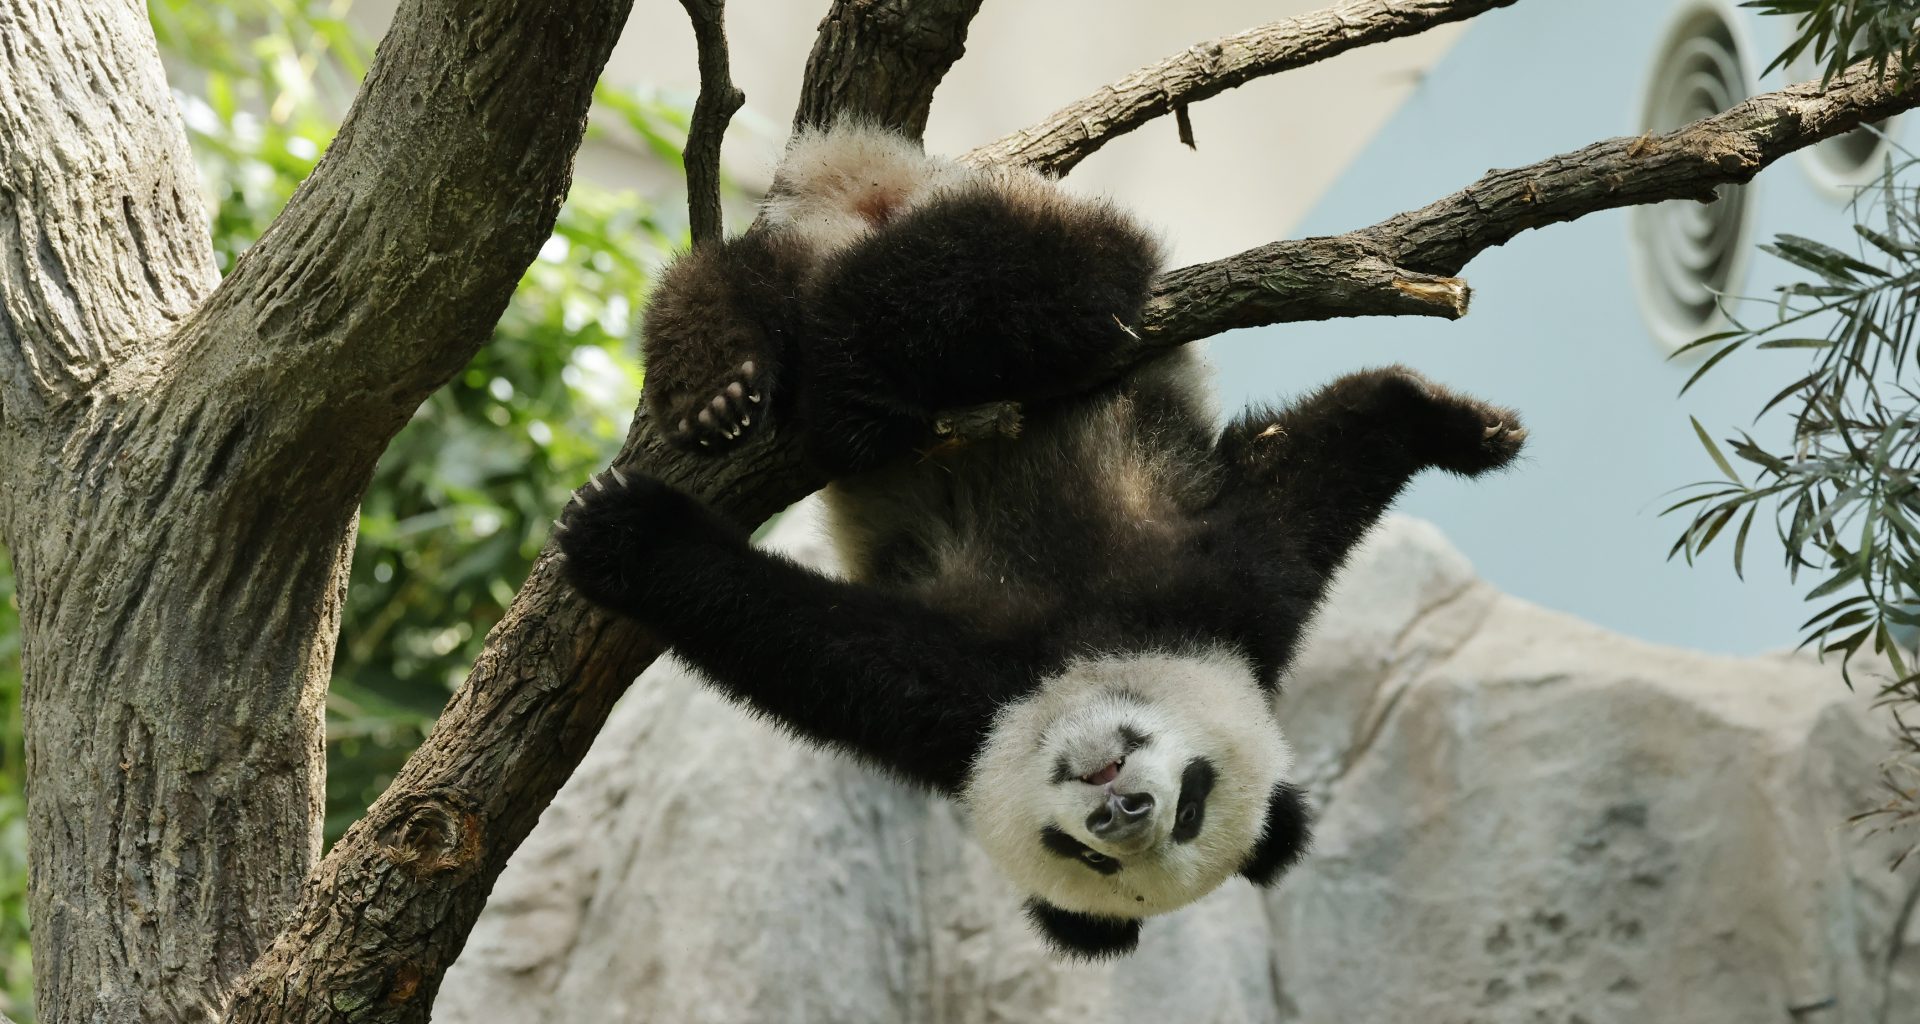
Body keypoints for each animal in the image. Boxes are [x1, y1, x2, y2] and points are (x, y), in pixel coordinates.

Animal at [556, 121, 1526, 958]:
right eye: (1195, 796)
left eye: (1119, 853)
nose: (1123, 810)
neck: (1077, 652)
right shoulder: (1194, 599)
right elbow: (1308, 483)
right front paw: (1463, 427)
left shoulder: (958, 711)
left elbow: (799, 636)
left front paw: (628, 541)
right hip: (1045, 232)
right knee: (1011, 285)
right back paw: (758, 385)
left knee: (802, 273)